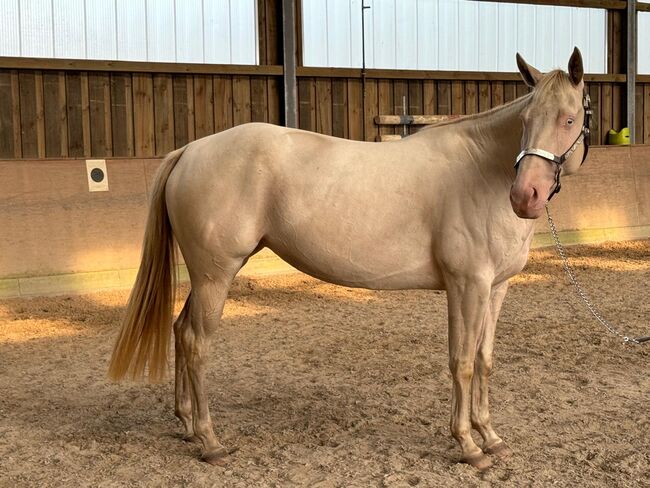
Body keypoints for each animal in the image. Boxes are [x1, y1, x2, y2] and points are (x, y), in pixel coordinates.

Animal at [109, 48, 588, 468]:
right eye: (525, 120)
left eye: (568, 119)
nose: (525, 196)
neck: (480, 171)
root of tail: (190, 150)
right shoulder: (466, 286)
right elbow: (463, 362)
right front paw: (468, 445)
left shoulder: (495, 288)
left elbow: (485, 360)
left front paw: (490, 436)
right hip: (215, 275)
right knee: (196, 342)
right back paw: (210, 441)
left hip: (210, 274)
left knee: (180, 329)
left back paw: (188, 425)